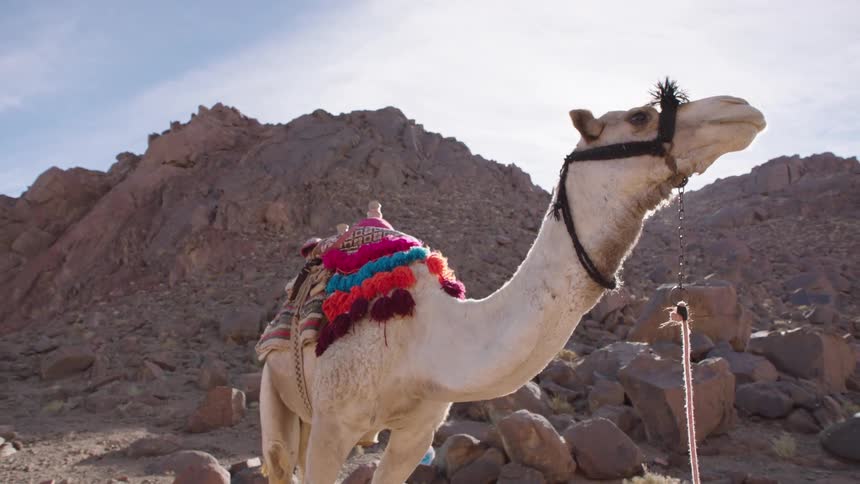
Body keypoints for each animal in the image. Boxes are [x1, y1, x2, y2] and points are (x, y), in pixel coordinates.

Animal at [259, 82, 766, 484]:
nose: (741, 107)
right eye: (640, 116)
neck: (426, 338)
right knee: (280, 460)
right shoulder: (334, 423)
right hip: (280, 394)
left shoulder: (417, 430)